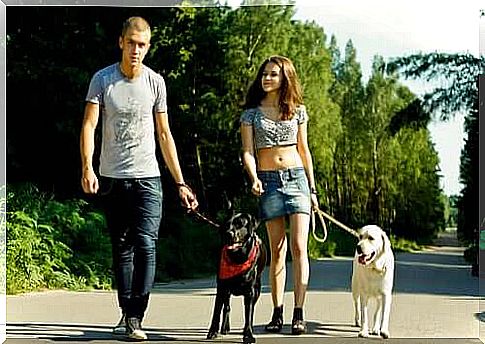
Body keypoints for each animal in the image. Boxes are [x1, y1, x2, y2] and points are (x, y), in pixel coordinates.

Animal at [206, 214, 266, 342]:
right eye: (226, 225)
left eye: (240, 224)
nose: (228, 233)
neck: (237, 258)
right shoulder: (222, 288)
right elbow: (217, 311)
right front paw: (212, 332)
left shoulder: (250, 291)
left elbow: (248, 313)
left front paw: (248, 334)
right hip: (227, 291)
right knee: (227, 307)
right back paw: (225, 327)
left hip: (257, 289)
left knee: (251, 309)